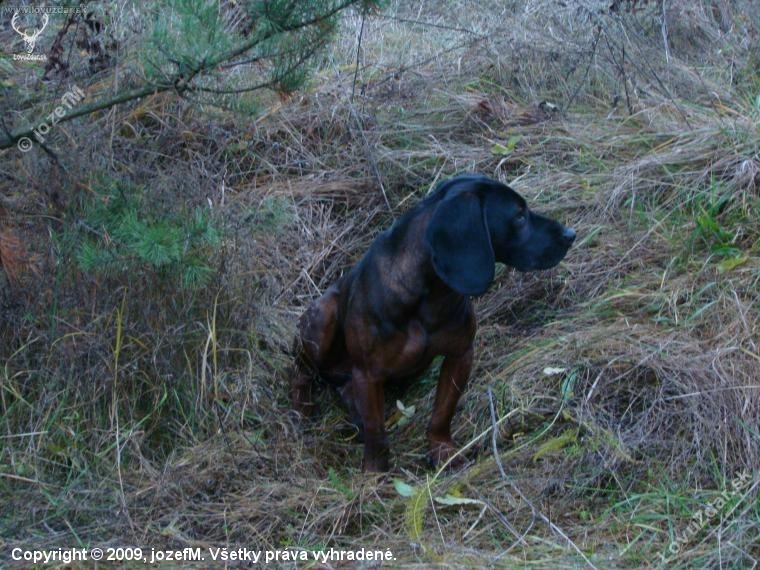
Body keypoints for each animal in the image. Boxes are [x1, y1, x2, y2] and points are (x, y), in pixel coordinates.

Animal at [291, 174, 576, 472]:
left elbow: (442, 412)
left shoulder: (460, 355)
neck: (427, 296)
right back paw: (302, 408)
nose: (571, 234)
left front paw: (443, 451)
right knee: (300, 372)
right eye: (519, 216)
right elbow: (375, 431)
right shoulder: (368, 374)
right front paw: (375, 472)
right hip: (322, 320)